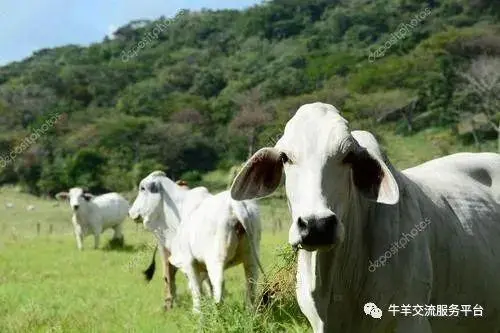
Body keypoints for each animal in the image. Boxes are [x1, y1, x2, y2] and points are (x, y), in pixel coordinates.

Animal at [129, 170, 264, 312]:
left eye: (142, 188)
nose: (130, 212)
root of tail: (237, 206)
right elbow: (205, 286)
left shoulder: (189, 261)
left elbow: (196, 289)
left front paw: (197, 312)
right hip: (251, 257)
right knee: (251, 282)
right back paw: (250, 310)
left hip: (216, 260)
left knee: (219, 284)